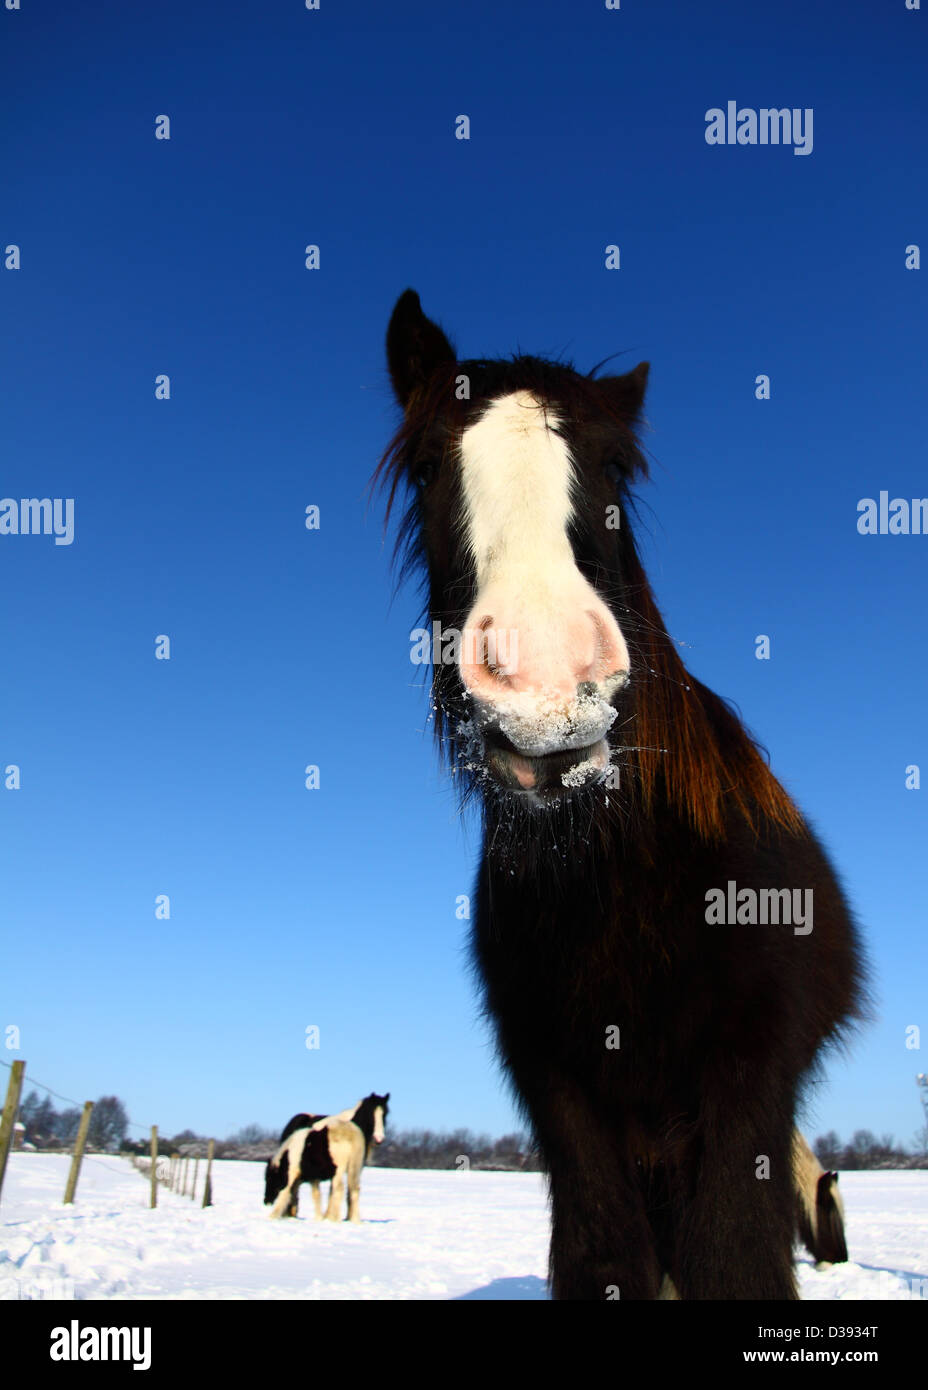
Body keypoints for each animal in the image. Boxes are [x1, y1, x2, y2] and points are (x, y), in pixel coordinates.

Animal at [262, 1089, 388, 1223]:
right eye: (371, 1113)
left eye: (385, 1114)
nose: (379, 1138)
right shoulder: (317, 1176)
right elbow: (318, 1194)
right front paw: (323, 1217)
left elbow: (289, 1192)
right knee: (351, 1189)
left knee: (340, 1189)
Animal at [377, 293, 872, 1301]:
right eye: (426, 467)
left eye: (614, 466)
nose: (547, 680)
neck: (625, 876)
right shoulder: (562, 1092)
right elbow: (602, 1260)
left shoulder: (749, 1078)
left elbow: (735, 1262)